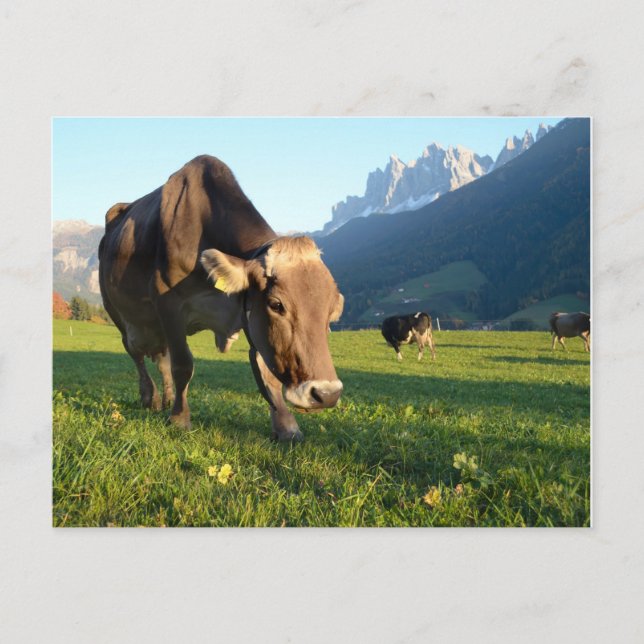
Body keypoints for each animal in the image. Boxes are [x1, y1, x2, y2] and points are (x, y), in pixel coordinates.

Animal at [98, 155, 345, 442]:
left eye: (331, 313)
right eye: (277, 305)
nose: (326, 394)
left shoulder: (247, 310)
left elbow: (265, 373)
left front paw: (287, 427)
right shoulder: (168, 303)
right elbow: (183, 364)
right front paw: (179, 419)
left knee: (161, 357)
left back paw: (167, 397)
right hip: (120, 315)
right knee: (136, 353)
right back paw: (151, 397)